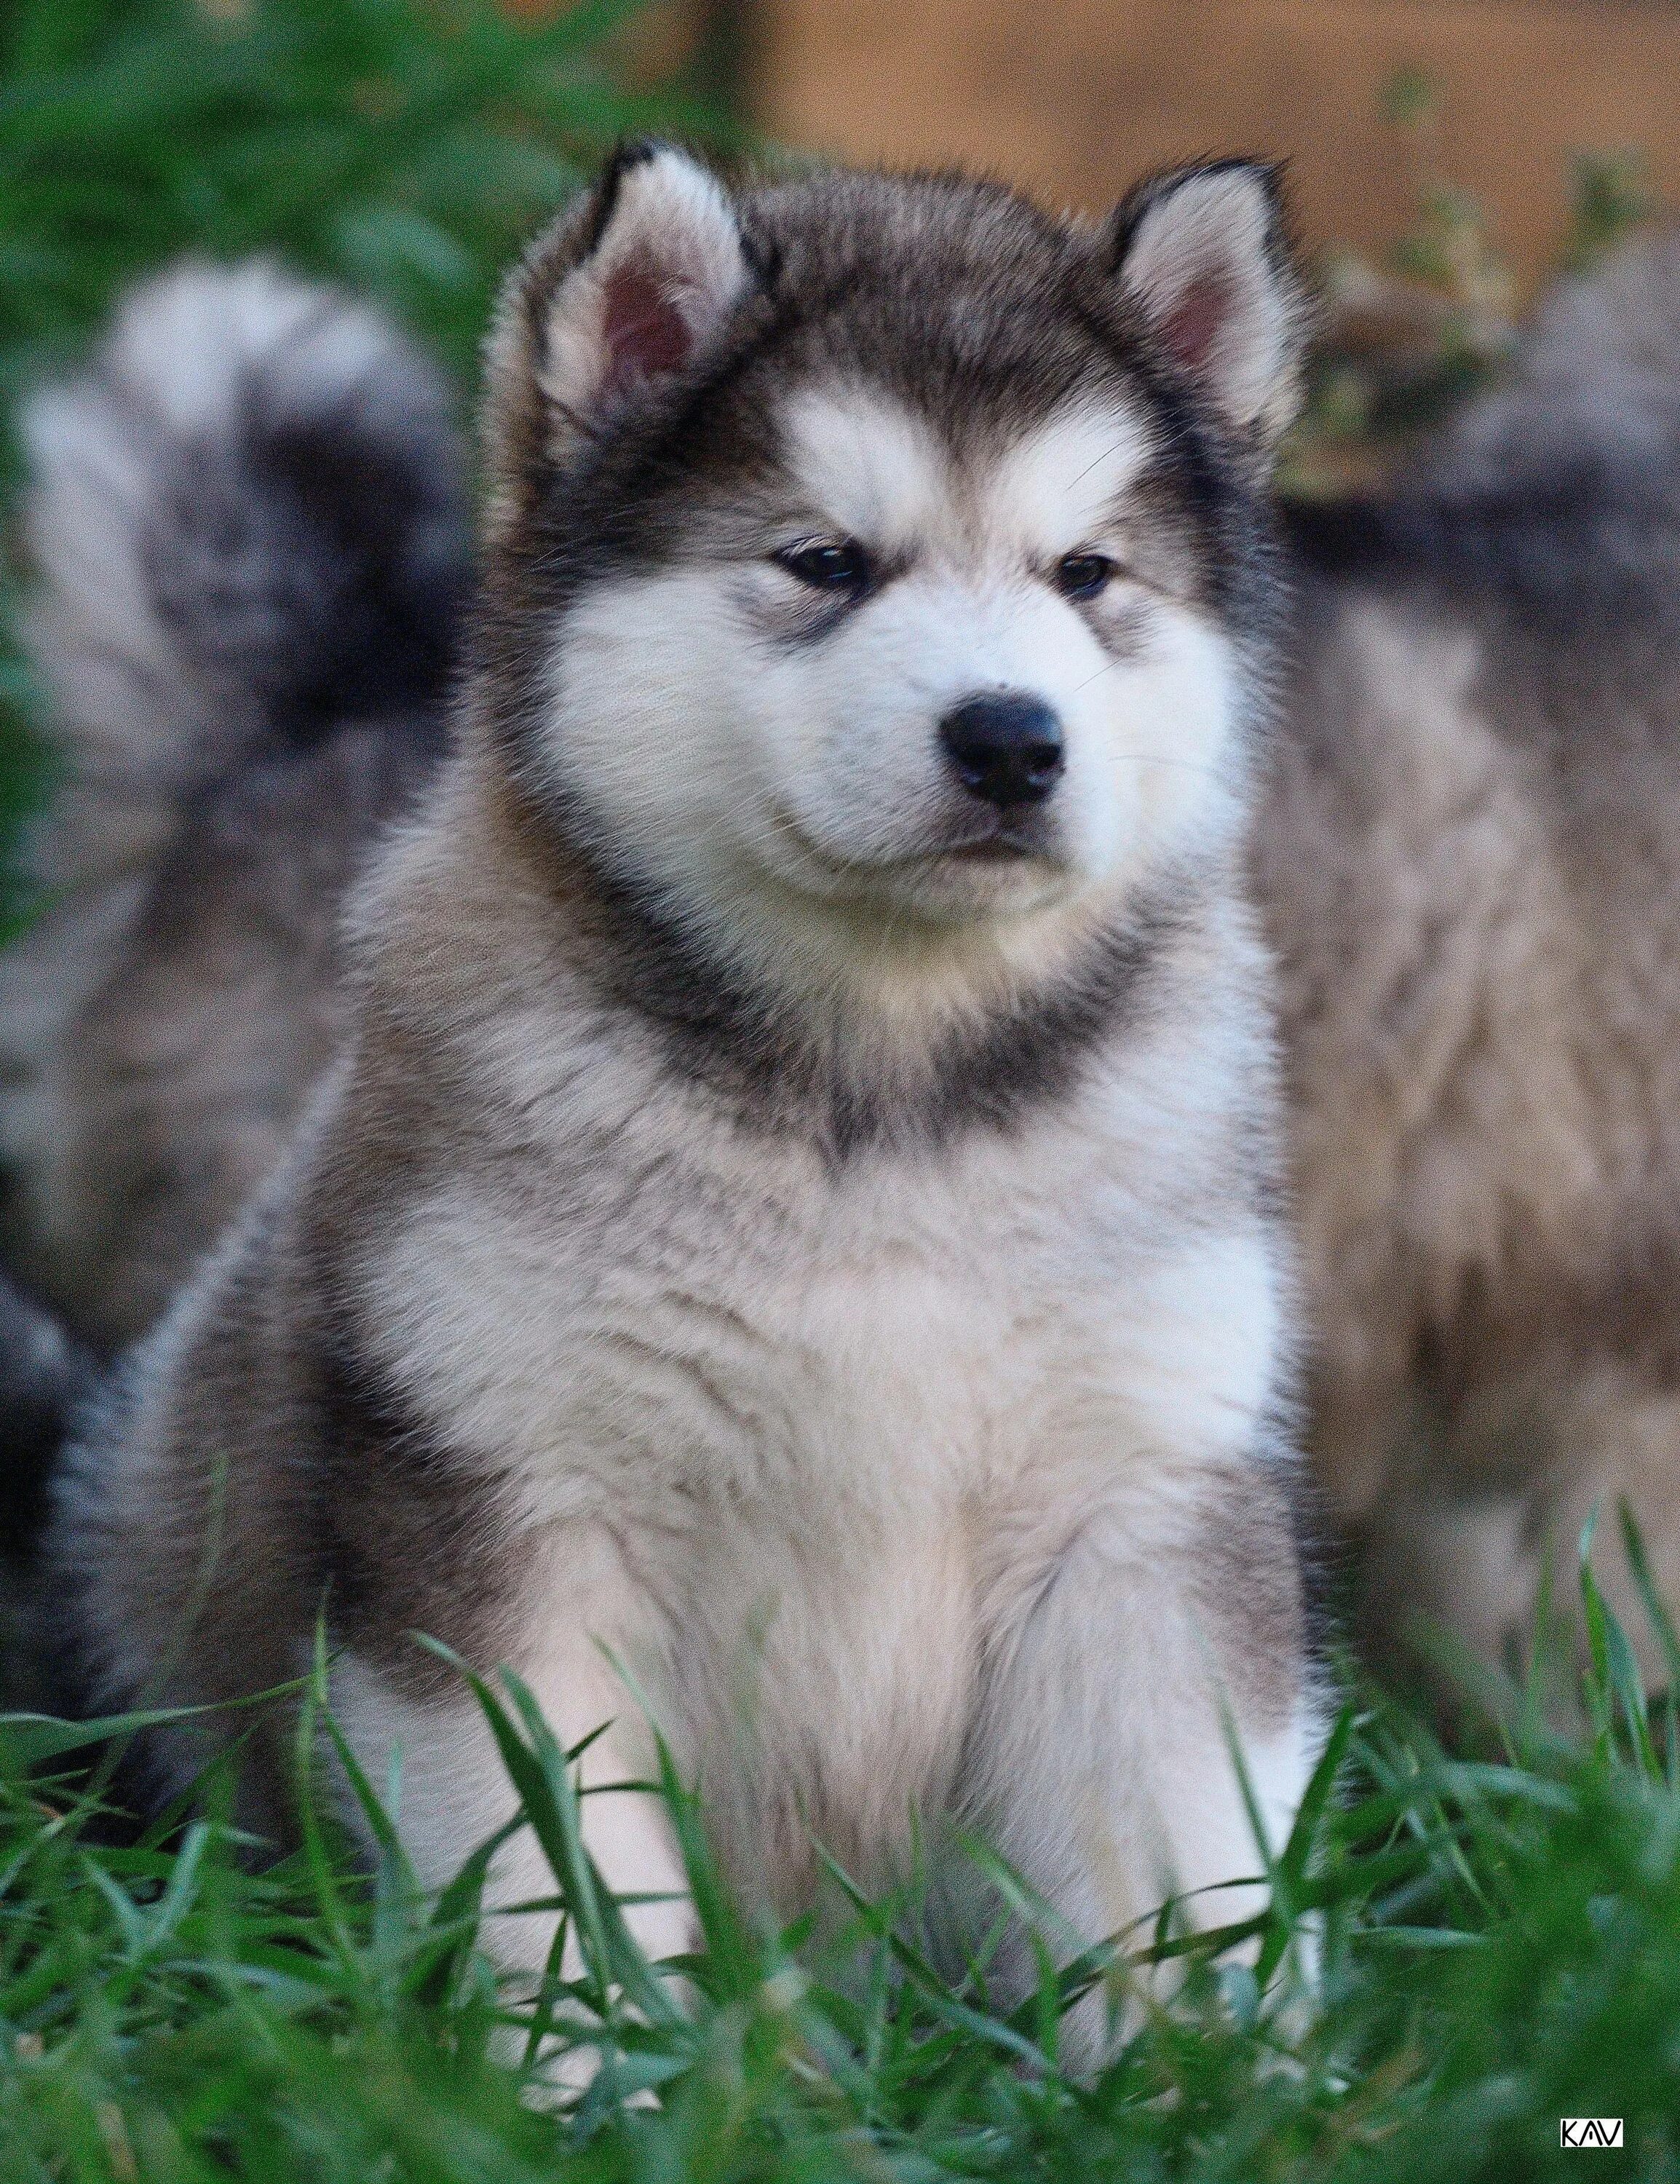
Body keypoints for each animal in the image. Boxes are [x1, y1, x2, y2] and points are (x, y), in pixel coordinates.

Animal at [42, 145, 1328, 2035]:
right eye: (820, 560)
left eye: (1085, 572)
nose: (1010, 739)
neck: (879, 1105)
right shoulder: (500, 1495)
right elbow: (546, 1869)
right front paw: (584, 2070)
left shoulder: (1143, 1501)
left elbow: (1181, 1872)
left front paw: (1219, 2076)